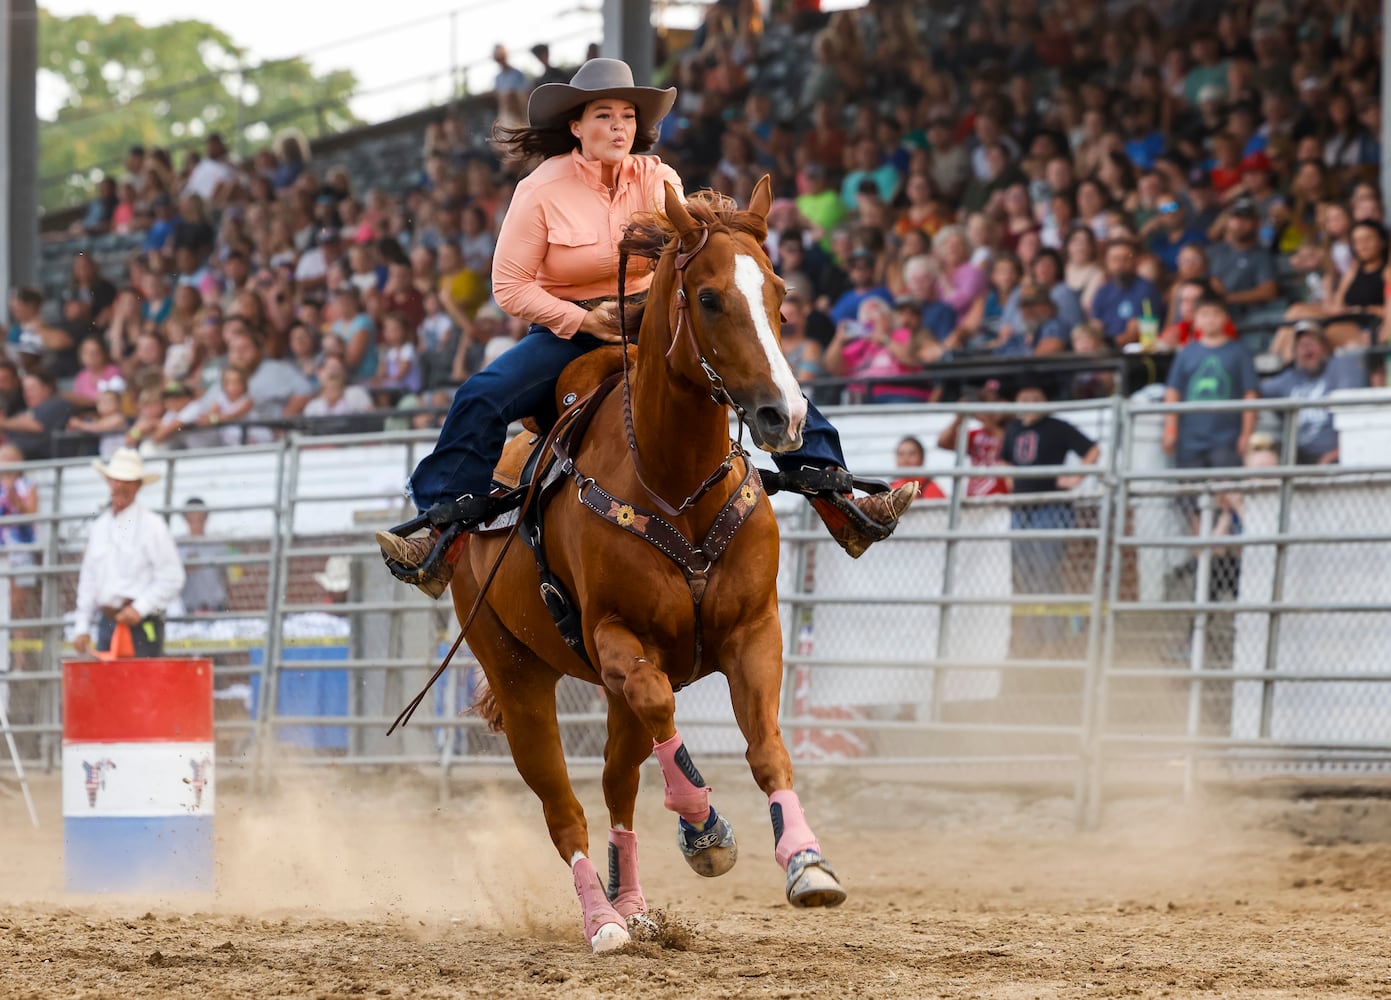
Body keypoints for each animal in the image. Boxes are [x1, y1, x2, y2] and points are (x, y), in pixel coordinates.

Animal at [445, 175, 840, 951]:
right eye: (710, 298)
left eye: (779, 292)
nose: (783, 416)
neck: (672, 479)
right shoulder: (618, 639)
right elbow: (663, 707)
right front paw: (704, 829)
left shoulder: (755, 631)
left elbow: (767, 747)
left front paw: (807, 863)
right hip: (517, 676)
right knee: (564, 806)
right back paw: (603, 921)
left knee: (616, 787)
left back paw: (632, 905)